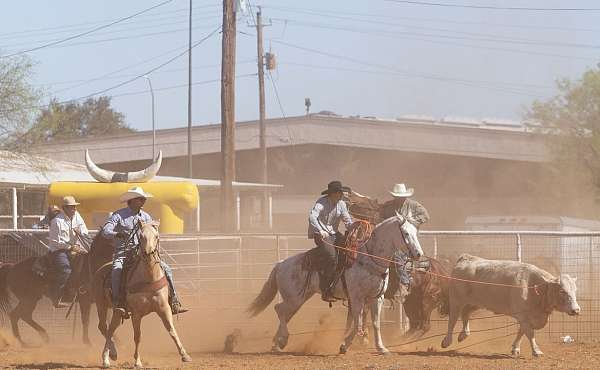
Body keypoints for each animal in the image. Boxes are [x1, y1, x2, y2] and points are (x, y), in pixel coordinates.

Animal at [94, 221, 190, 368]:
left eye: (156, 236)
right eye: (140, 236)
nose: (148, 253)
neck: (149, 277)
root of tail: (101, 269)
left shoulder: (164, 309)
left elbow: (172, 330)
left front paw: (184, 355)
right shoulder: (136, 314)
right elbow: (137, 336)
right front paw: (137, 362)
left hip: (116, 312)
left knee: (110, 329)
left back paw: (113, 354)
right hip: (101, 305)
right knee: (104, 328)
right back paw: (106, 359)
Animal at [247, 214, 422, 356]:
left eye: (416, 232)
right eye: (406, 233)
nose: (419, 254)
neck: (368, 259)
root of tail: (281, 264)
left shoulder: (376, 297)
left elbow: (375, 323)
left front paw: (381, 348)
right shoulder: (356, 297)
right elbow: (357, 322)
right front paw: (345, 346)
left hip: (299, 298)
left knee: (284, 313)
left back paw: (277, 344)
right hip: (294, 298)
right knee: (279, 310)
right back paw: (282, 340)